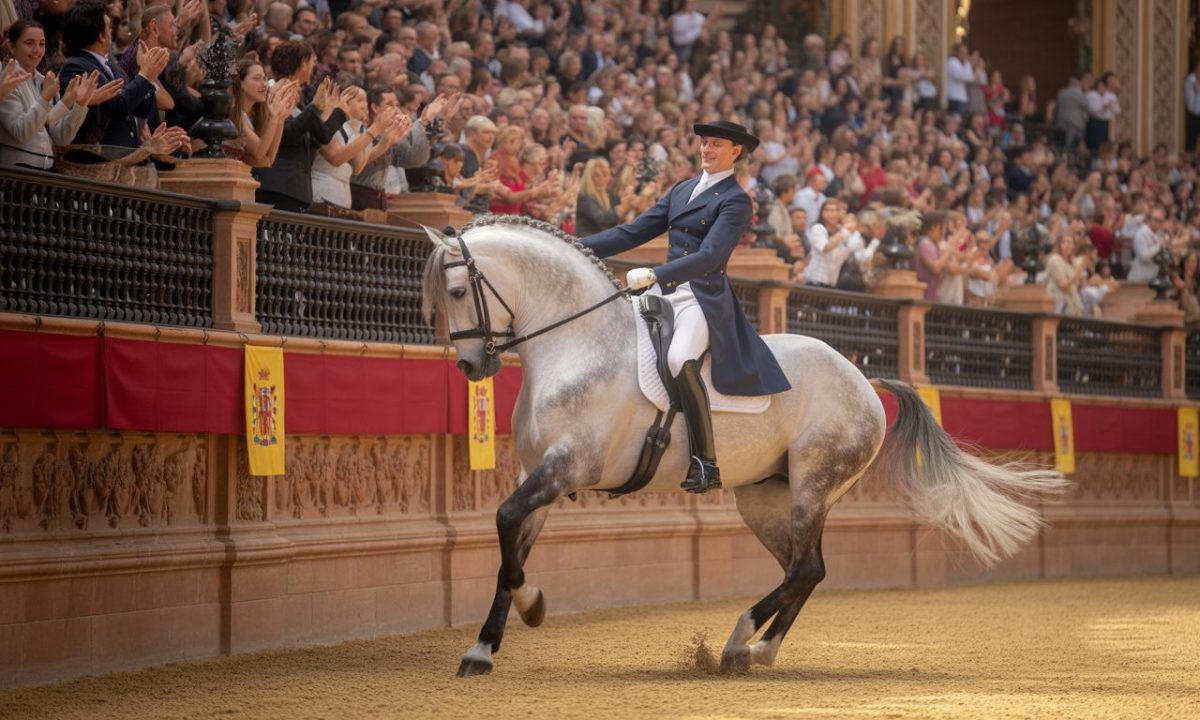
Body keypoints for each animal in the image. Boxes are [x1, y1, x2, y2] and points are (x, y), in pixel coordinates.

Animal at [421, 215, 1067, 677]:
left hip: (812, 483)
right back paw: (754, 650)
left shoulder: (564, 469)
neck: (579, 344)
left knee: (807, 566)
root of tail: (862, 376)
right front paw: (483, 648)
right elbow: (509, 546)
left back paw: (740, 642)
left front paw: (531, 608)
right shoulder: (541, 478)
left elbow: (504, 526)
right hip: (765, 497)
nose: (472, 365)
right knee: (805, 569)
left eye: (456, 290)